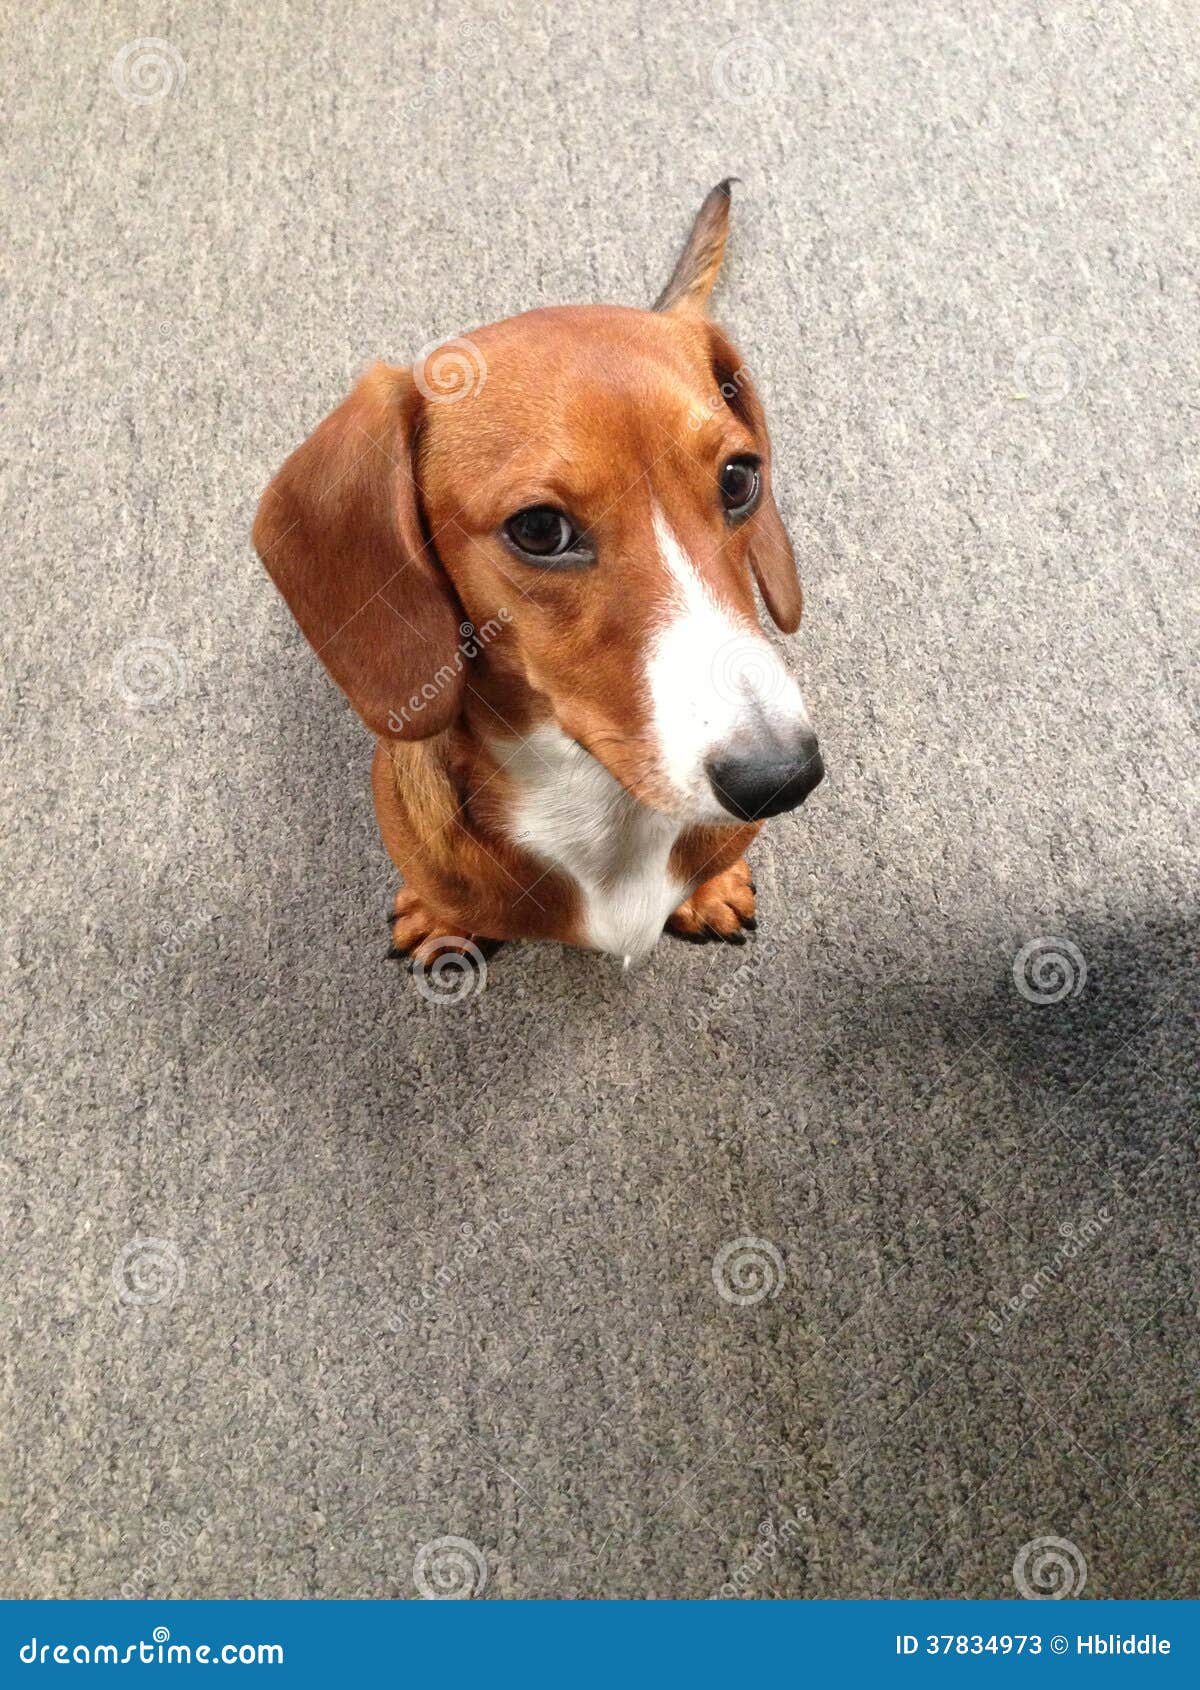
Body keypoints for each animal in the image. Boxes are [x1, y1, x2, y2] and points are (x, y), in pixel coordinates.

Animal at [251, 178, 818, 973]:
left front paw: (713, 886)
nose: (781, 779)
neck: (598, 806)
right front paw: (442, 918)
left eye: (740, 478)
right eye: (540, 529)